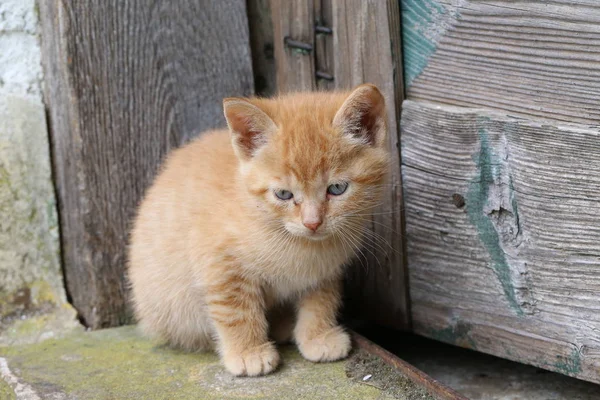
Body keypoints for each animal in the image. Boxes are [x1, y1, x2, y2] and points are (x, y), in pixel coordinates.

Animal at [128, 83, 390, 376]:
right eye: (283, 194)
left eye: (337, 188)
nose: (312, 223)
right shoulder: (219, 263)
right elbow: (235, 310)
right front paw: (248, 352)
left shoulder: (325, 271)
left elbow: (322, 300)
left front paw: (317, 336)